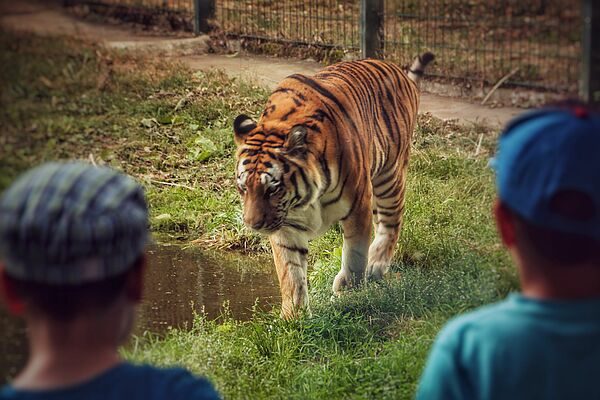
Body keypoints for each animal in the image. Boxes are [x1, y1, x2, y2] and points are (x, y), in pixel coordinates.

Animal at [232, 52, 434, 318]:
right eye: (243, 188)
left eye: (272, 189)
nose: (253, 225)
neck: (304, 197)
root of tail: (398, 71)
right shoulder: (285, 224)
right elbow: (290, 271)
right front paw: (294, 317)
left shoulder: (358, 205)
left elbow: (354, 257)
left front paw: (349, 295)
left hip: (389, 176)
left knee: (391, 223)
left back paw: (376, 265)